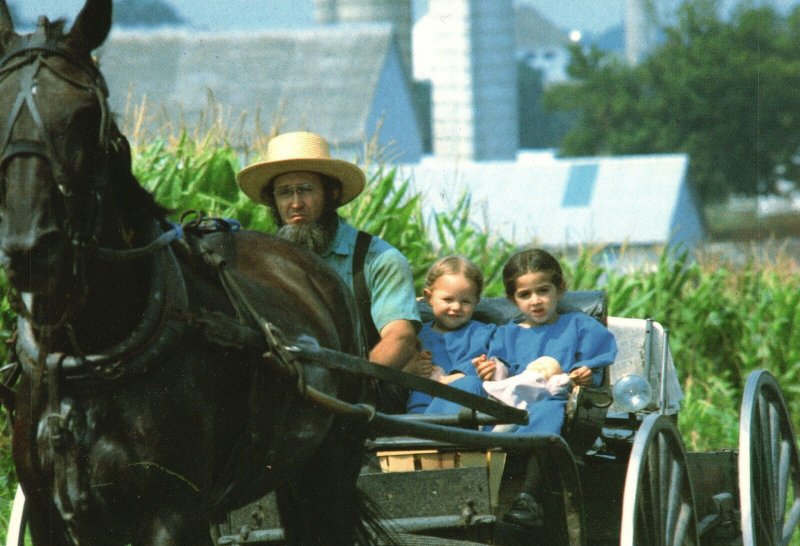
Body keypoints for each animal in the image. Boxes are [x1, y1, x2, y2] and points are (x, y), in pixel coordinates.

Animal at [0, 2, 384, 540]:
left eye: (83, 114)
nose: (32, 246)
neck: (89, 355)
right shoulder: (47, 511)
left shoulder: (173, 511)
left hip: (327, 464)